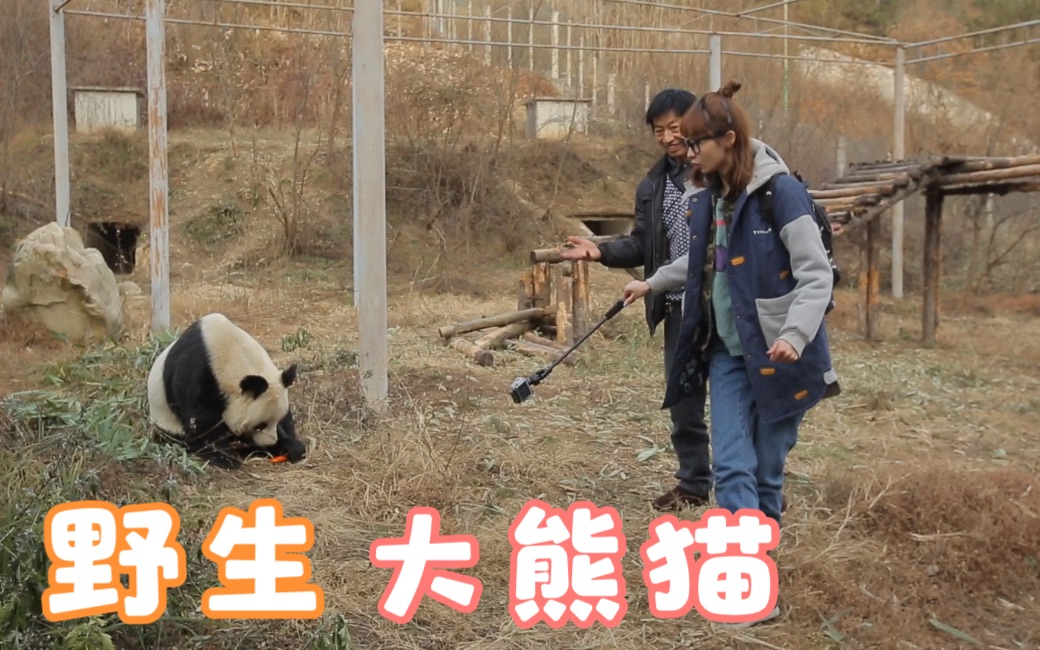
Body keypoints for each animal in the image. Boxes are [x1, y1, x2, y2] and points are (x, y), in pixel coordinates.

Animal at [148, 312, 305, 467]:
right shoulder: (196, 374)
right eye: (260, 425)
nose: (270, 442)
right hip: (166, 422)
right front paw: (224, 458)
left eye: (277, 420)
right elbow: (201, 421)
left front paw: (289, 446)